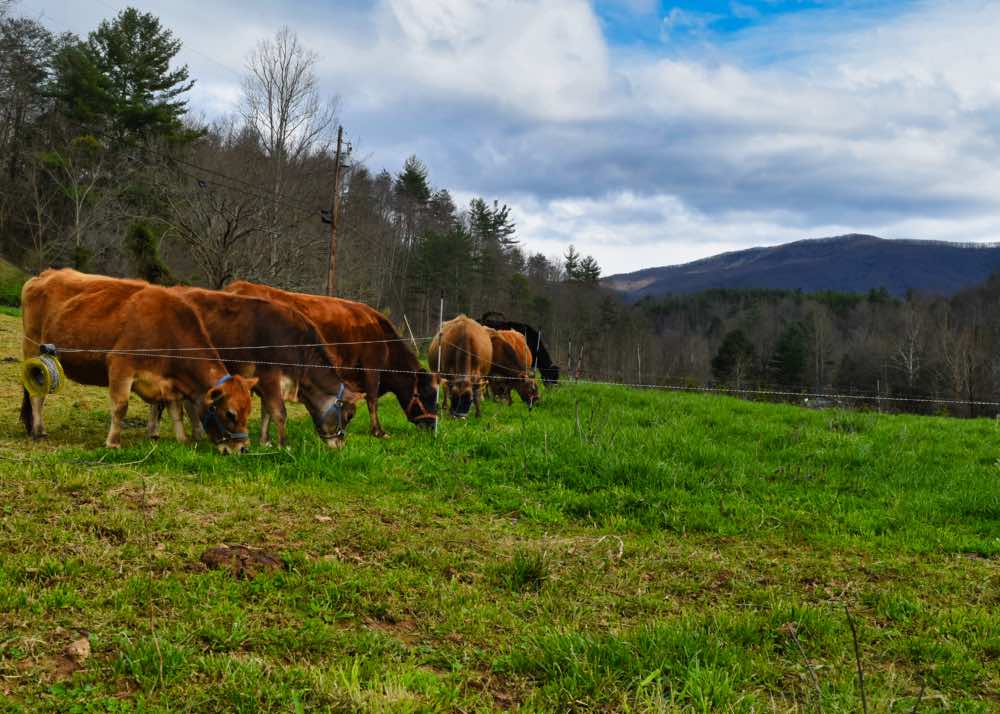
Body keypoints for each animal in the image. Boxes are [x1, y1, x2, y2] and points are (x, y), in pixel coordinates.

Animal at [20, 269, 256, 453]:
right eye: (230, 413)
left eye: (248, 412)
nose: (242, 448)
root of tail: (45, 274)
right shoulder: (120, 365)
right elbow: (120, 407)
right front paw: (113, 443)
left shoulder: (168, 383)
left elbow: (176, 412)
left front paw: (182, 441)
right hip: (33, 350)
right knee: (36, 396)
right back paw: (39, 431)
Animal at [146, 287, 361, 448]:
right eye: (349, 415)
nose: (340, 445)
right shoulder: (269, 377)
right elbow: (279, 412)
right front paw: (284, 445)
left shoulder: (267, 383)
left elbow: (267, 412)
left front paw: (265, 441)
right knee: (161, 400)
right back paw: (154, 432)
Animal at [225, 281, 438, 437]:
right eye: (428, 394)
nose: (433, 426)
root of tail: (236, 286)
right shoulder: (371, 368)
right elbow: (372, 399)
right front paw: (378, 431)